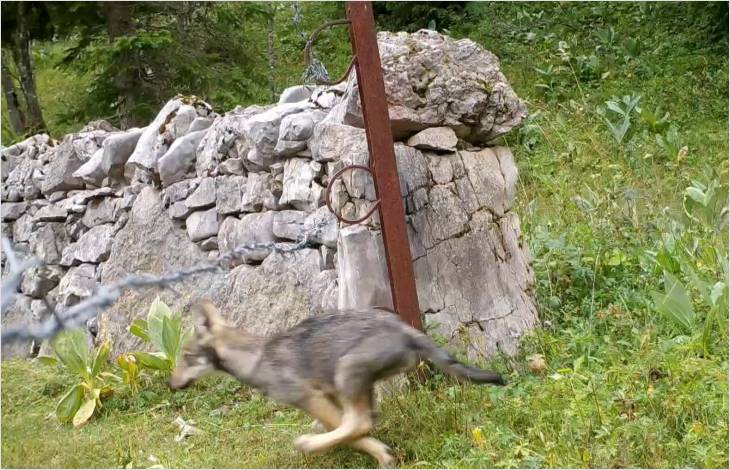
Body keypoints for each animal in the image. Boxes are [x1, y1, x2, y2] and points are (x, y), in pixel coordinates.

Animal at [168, 302, 504, 466]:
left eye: (186, 356)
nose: (171, 384)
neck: (257, 357)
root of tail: (406, 331)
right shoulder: (328, 398)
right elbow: (349, 431)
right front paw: (383, 453)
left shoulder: (311, 399)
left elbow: (351, 432)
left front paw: (381, 454)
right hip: (358, 384)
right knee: (363, 420)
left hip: (347, 371)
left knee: (359, 422)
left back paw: (308, 444)